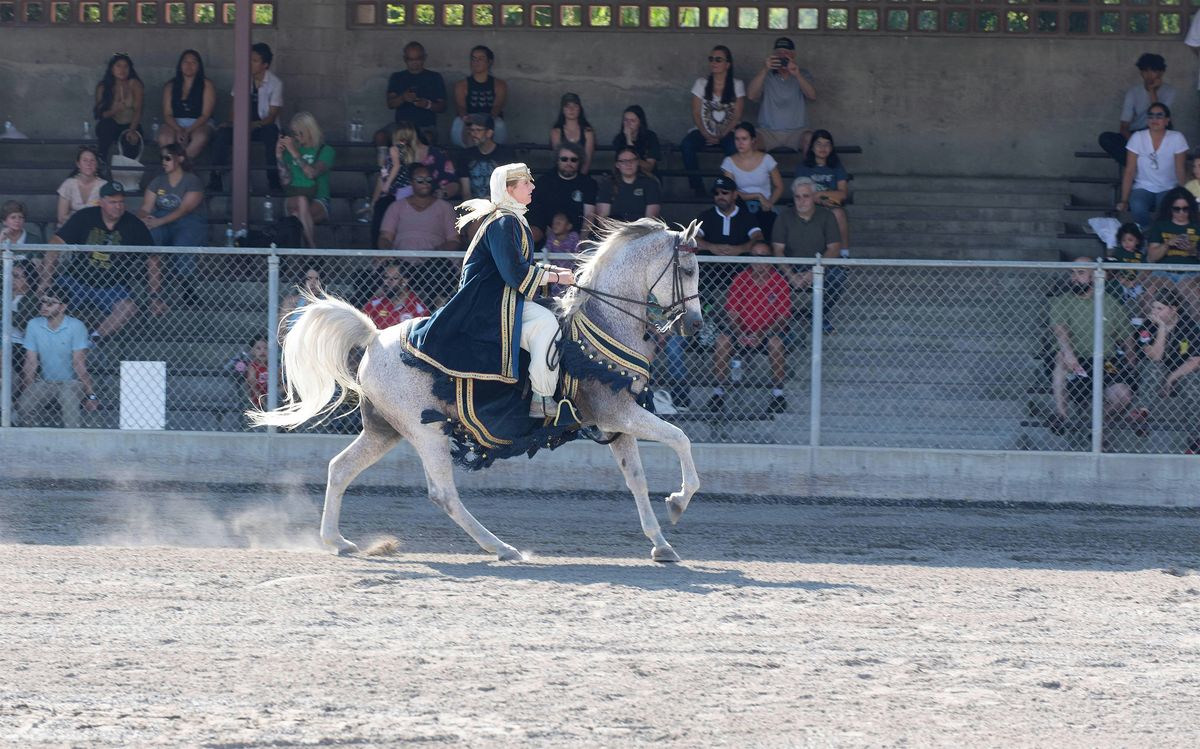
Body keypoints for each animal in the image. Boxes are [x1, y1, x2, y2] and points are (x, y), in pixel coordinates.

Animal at [249, 218, 704, 562]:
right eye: (687, 270)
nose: (695, 326)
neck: (603, 323)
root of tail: (375, 337)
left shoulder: (616, 422)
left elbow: (637, 480)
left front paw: (661, 544)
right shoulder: (618, 413)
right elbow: (681, 439)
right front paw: (679, 502)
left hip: (385, 430)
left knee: (340, 468)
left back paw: (337, 541)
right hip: (426, 432)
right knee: (443, 494)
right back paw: (501, 547)